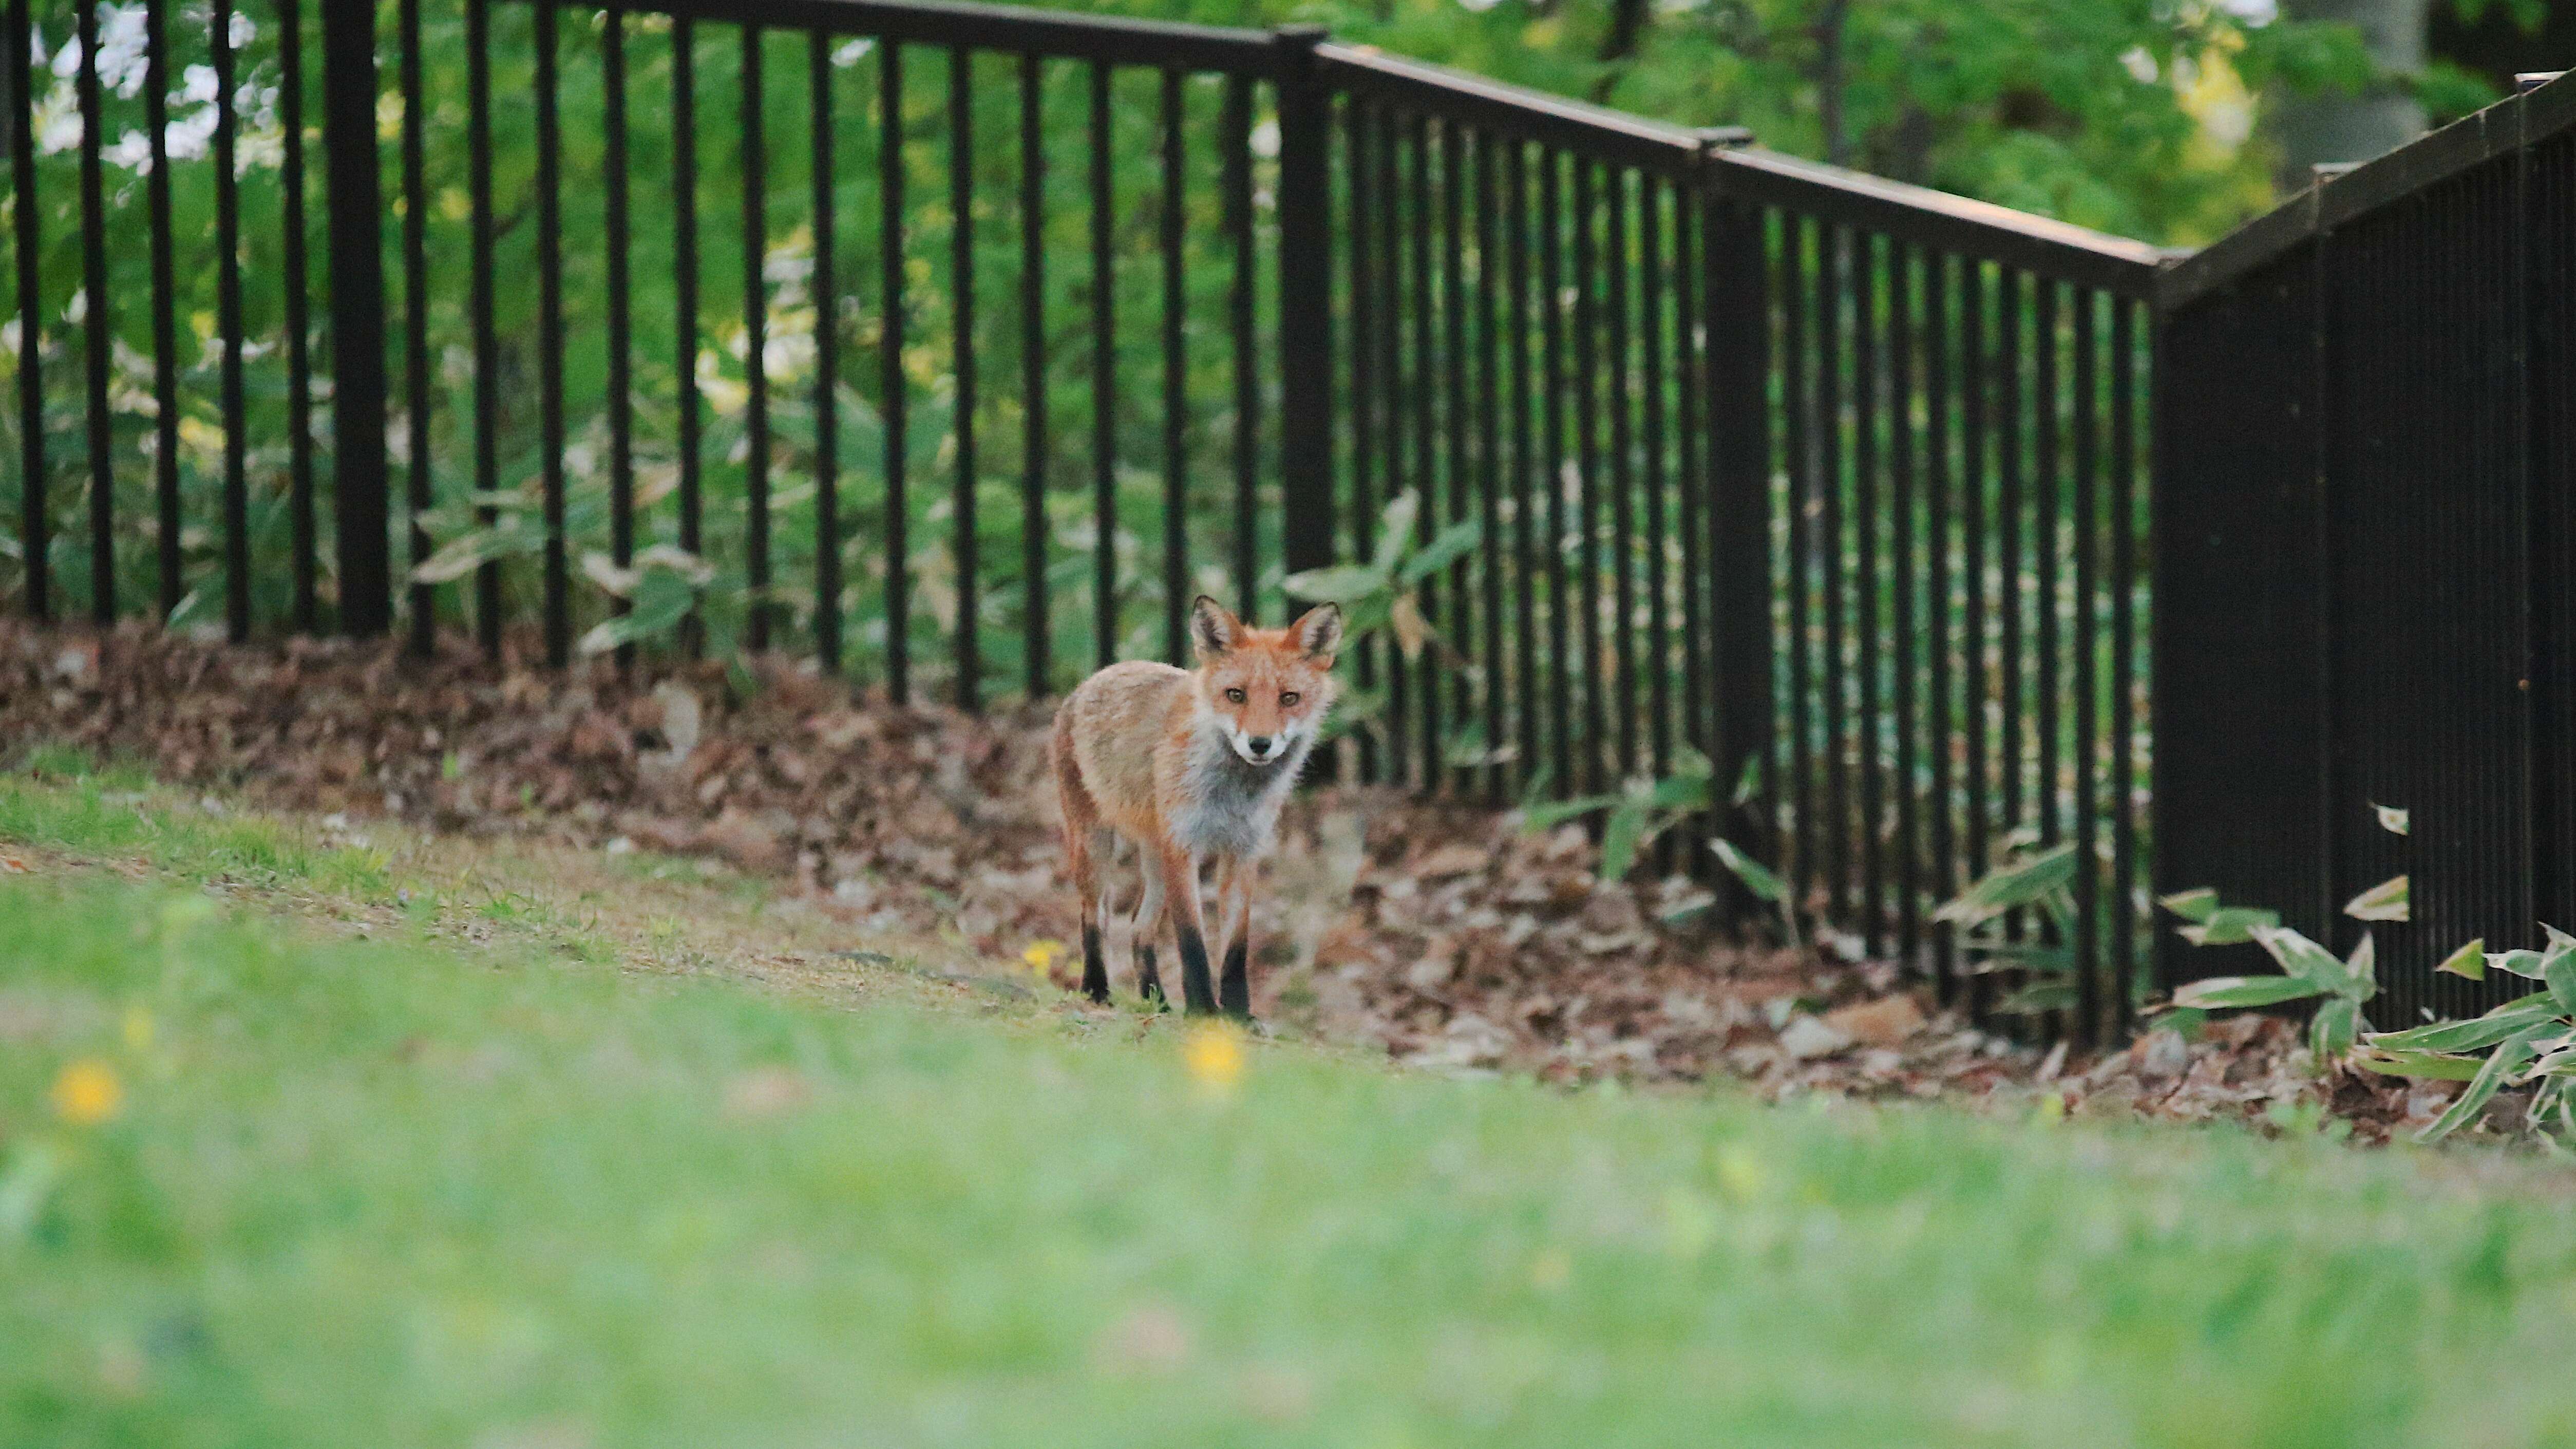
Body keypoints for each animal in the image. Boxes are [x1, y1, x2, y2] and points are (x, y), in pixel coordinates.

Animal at [1051, 593, 1350, 1010]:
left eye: (1289, 698)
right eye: (1236, 695)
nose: (1260, 744)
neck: (1233, 796)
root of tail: (1097, 675)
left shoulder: (1244, 851)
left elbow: (1236, 947)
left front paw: (1238, 1014)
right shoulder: (1183, 847)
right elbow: (1192, 943)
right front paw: (1204, 1011)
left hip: (1155, 861)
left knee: (1139, 926)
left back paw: (1157, 1003)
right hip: (1096, 849)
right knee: (1093, 919)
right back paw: (1096, 989)